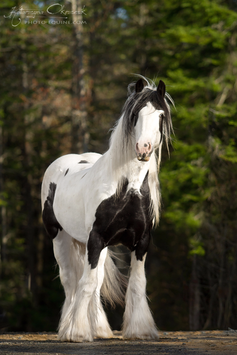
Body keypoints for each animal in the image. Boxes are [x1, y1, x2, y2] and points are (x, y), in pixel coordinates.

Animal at [41, 76, 173, 344]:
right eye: (135, 114)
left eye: (161, 115)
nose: (143, 148)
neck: (127, 189)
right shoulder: (96, 238)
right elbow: (86, 283)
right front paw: (77, 333)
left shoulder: (141, 242)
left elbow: (136, 283)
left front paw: (140, 330)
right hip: (60, 238)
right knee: (71, 281)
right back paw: (68, 327)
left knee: (97, 279)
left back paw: (99, 329)